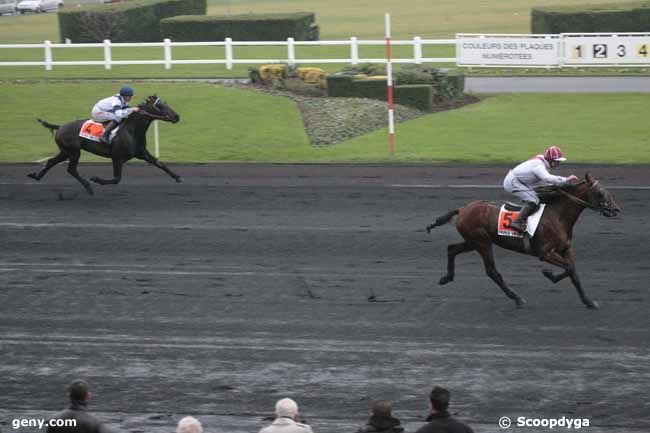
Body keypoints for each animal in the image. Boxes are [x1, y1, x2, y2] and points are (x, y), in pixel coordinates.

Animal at [28, 95, 180, 195]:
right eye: (160, 105)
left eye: (165, 103)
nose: (177, 116)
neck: (131, 130)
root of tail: (60, 127)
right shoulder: (117, 157)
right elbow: (116, 179)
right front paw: (97, 179)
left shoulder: (142, 153)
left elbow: (160, 164)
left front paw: (177, 177)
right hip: (74, 152)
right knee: (71, 169)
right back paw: (88, 186)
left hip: (65, 152)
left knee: (51, 162)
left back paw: (36, 176)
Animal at [426, 172, 616, 308]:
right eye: (600, 193)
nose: (616, 210)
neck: (557, 216)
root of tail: (463, 209)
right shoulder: (545, 253)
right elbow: (568, 268)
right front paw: (549, 274)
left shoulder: (565, 249)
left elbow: (573, 272)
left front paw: (588, 301)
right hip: (482, 242)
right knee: (492, 271)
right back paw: (516, 298)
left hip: (473, 242)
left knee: (451, 249)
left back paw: (446, 278)